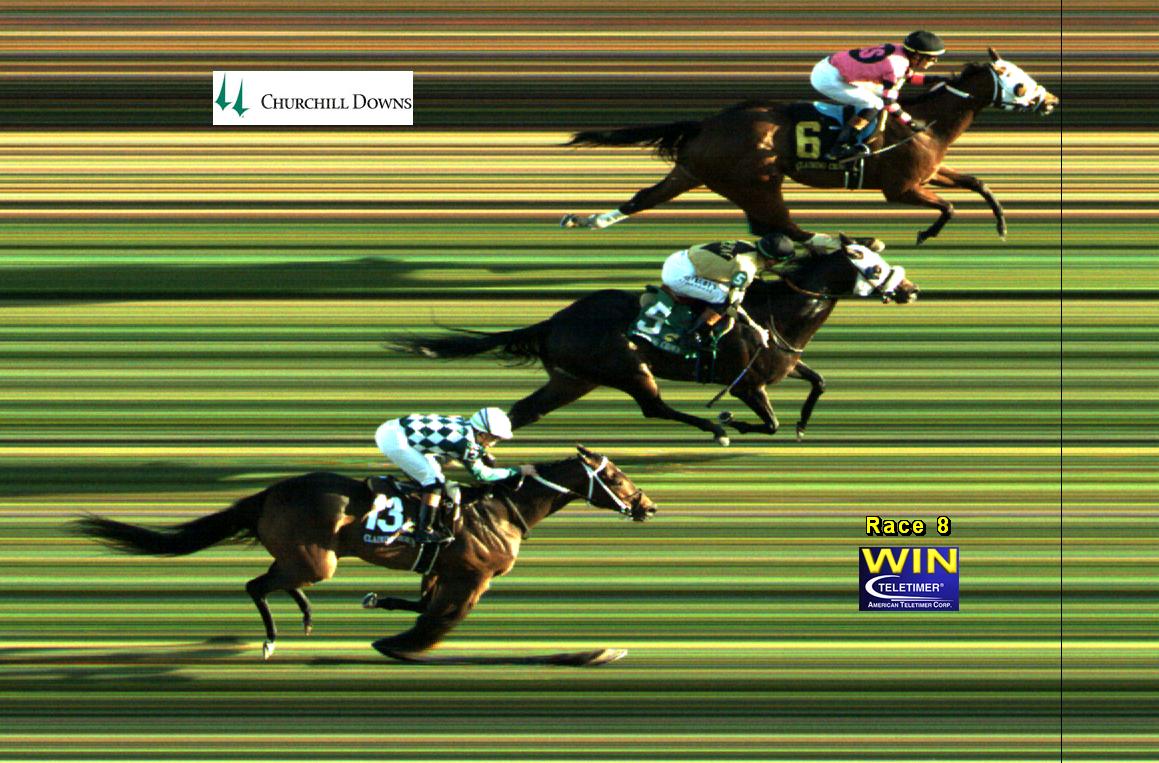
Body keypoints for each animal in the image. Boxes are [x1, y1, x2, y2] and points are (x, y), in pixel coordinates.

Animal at [76, 446, 657, 664]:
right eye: (616, 477)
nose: (648, 505)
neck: (504, 509)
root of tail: (268, 493)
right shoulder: (473, 576)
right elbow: (437, 618)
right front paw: (399, 643)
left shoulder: (441, 569)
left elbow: (423, 603)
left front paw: (379, 605)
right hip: (318, 559)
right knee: (256, 585)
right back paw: (272, 637)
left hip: (305, 558)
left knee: (275, 581)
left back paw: (305, 616)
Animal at [397, 237, 919, 445]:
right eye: (873, 268)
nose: (911, 290)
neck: (781, 314)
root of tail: (553, 320)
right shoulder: (749, 384)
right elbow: (767, 423)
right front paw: (731, 420)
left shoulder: (786, 363)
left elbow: (819, 382)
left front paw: (803, 426)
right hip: (628, 368)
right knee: (654, 408)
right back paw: (715, 428)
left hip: (573, 379)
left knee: (523, 412)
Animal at [561, 48, 1058, 248]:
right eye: (1019, 81)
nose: (1051, 101)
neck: (926, 124)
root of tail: (707, 122)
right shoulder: (900, 188)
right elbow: (949, 207)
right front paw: (923, 234)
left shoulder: (929, 172)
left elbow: (978, 183)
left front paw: (1002, 226)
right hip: (757, 182)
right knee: (788, 226)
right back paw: (851, 240)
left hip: (696, 172)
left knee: (644, 198)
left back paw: (586, 220)